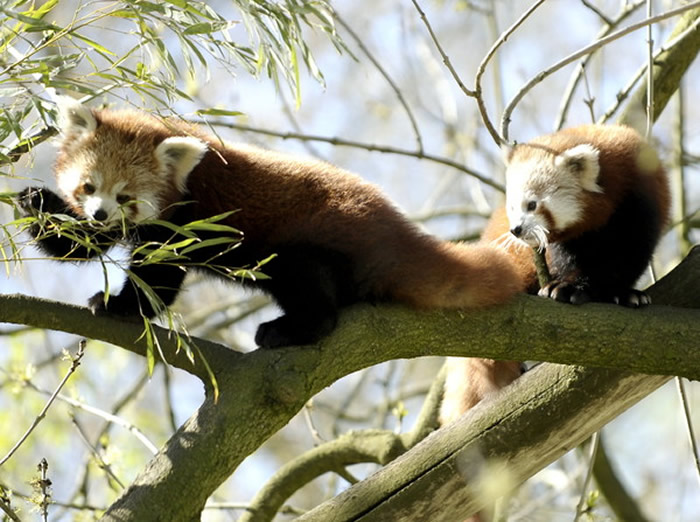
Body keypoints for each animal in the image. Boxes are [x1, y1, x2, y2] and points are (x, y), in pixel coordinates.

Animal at [16, 98, 524, 350]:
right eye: (88, 187)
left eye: (126, 197)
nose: (101, 213)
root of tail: (394, 227)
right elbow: (86, 247)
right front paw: (36, 202)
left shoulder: (186, 220)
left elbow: (159, 277)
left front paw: (117, 305)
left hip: (312, 244)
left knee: (308, 286)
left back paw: (289, 330)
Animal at [440, 124, 668, 424]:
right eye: (512, 206)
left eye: (532, 204)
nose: (515, 230)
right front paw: (568, 287)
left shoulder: (640, 206)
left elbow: (626, 258)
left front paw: (624, 294)